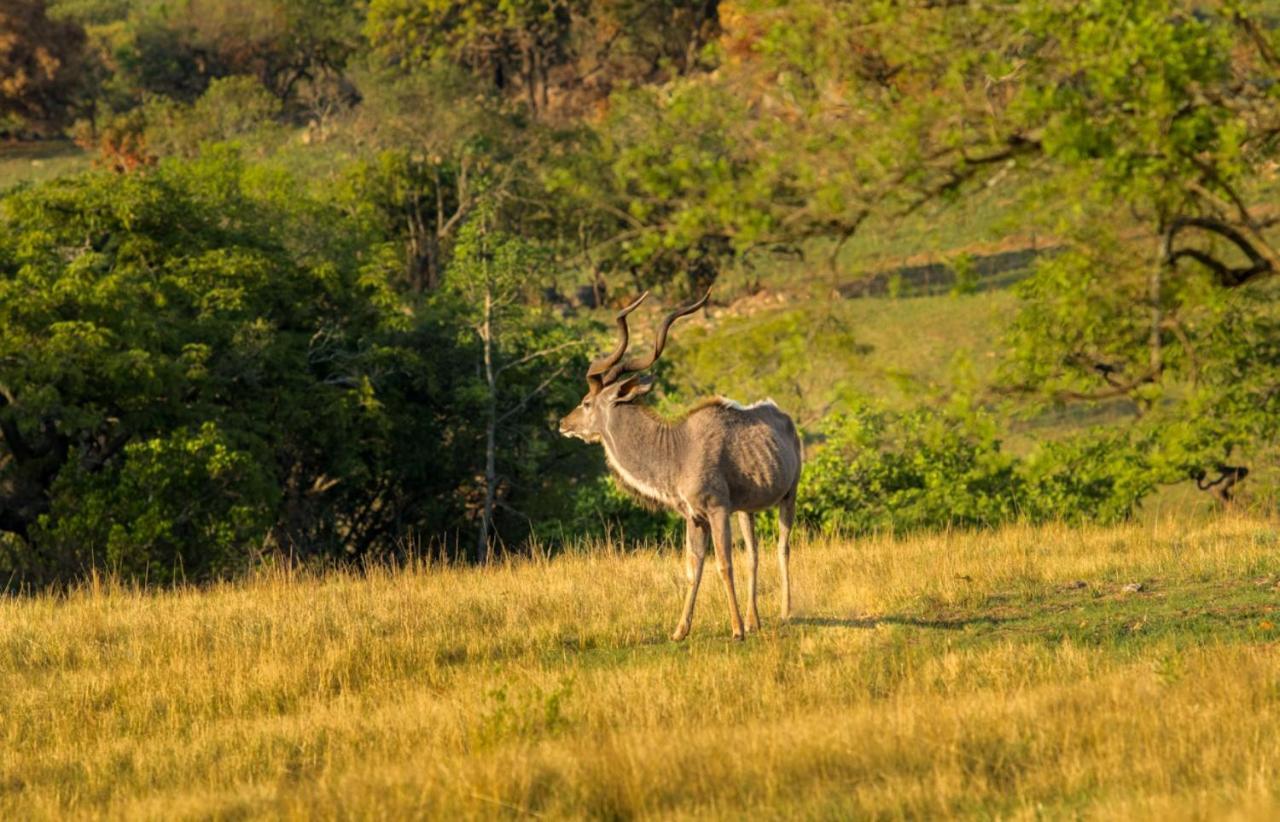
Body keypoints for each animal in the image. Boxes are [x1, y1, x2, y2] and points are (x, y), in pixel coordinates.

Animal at [560, 291, 798, 637]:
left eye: (587, 402)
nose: (563, 424)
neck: (678, 449)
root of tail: (783, 416)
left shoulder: (717, 510)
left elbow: (723, 564)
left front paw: (736, 629)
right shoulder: (694, 517)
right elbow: (693, 566)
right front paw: (680, 631)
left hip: (789, 495)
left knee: (783, 547)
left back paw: (784, 613)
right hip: (747, 510)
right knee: (754, 553)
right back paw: (755, 620)